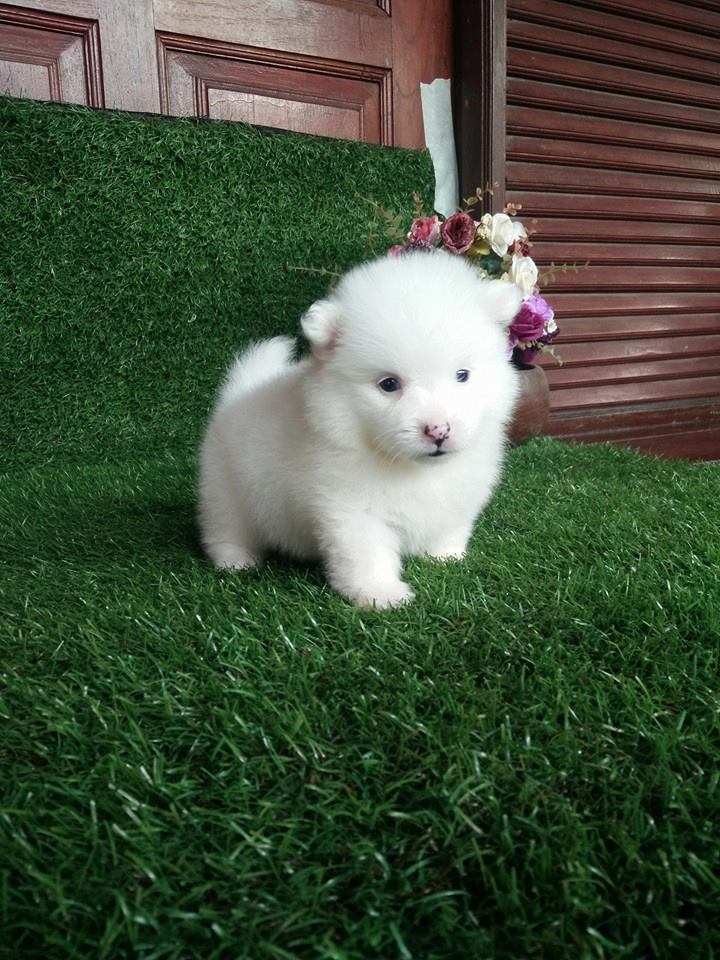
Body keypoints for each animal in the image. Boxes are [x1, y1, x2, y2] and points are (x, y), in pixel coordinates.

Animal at [198, 250, 521, 608]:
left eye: (462, 375)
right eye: (389, 384)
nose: (438, 430)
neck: (412, 468)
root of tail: (238, 394)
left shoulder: (461, 496)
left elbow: (451, 526)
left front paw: (446, 556)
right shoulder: (351, 509)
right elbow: (368, 554)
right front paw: (380, 593)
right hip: (226, 490)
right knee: (225, 530)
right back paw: (235, 560)